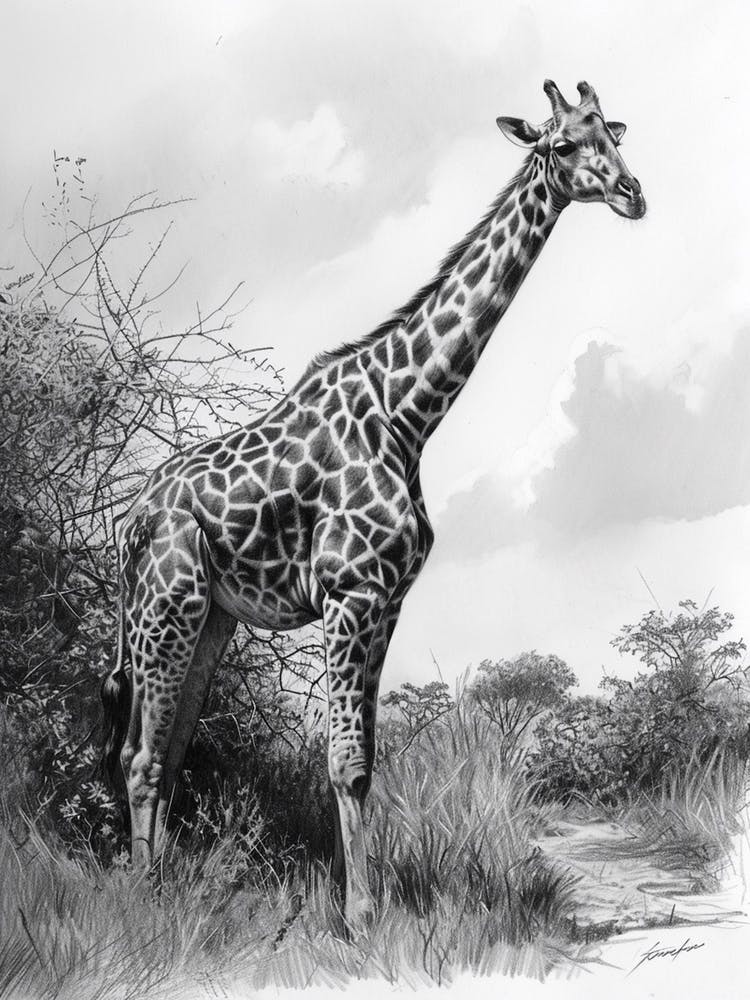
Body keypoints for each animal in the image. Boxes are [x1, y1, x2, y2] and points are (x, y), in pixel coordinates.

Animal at [101, 79, 645, 927]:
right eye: (561, 144)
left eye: (614, 135)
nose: (632, 192)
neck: (410, 411)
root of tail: (128, 523)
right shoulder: (349, 592)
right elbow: (344, 763)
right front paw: (360, 915)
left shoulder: (387, 599)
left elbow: (366, 761)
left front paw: (372, 904)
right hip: (168, 603)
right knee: (142, 751)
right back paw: (142, 896)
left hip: (212, 615)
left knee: (168, 744)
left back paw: (157, 884)